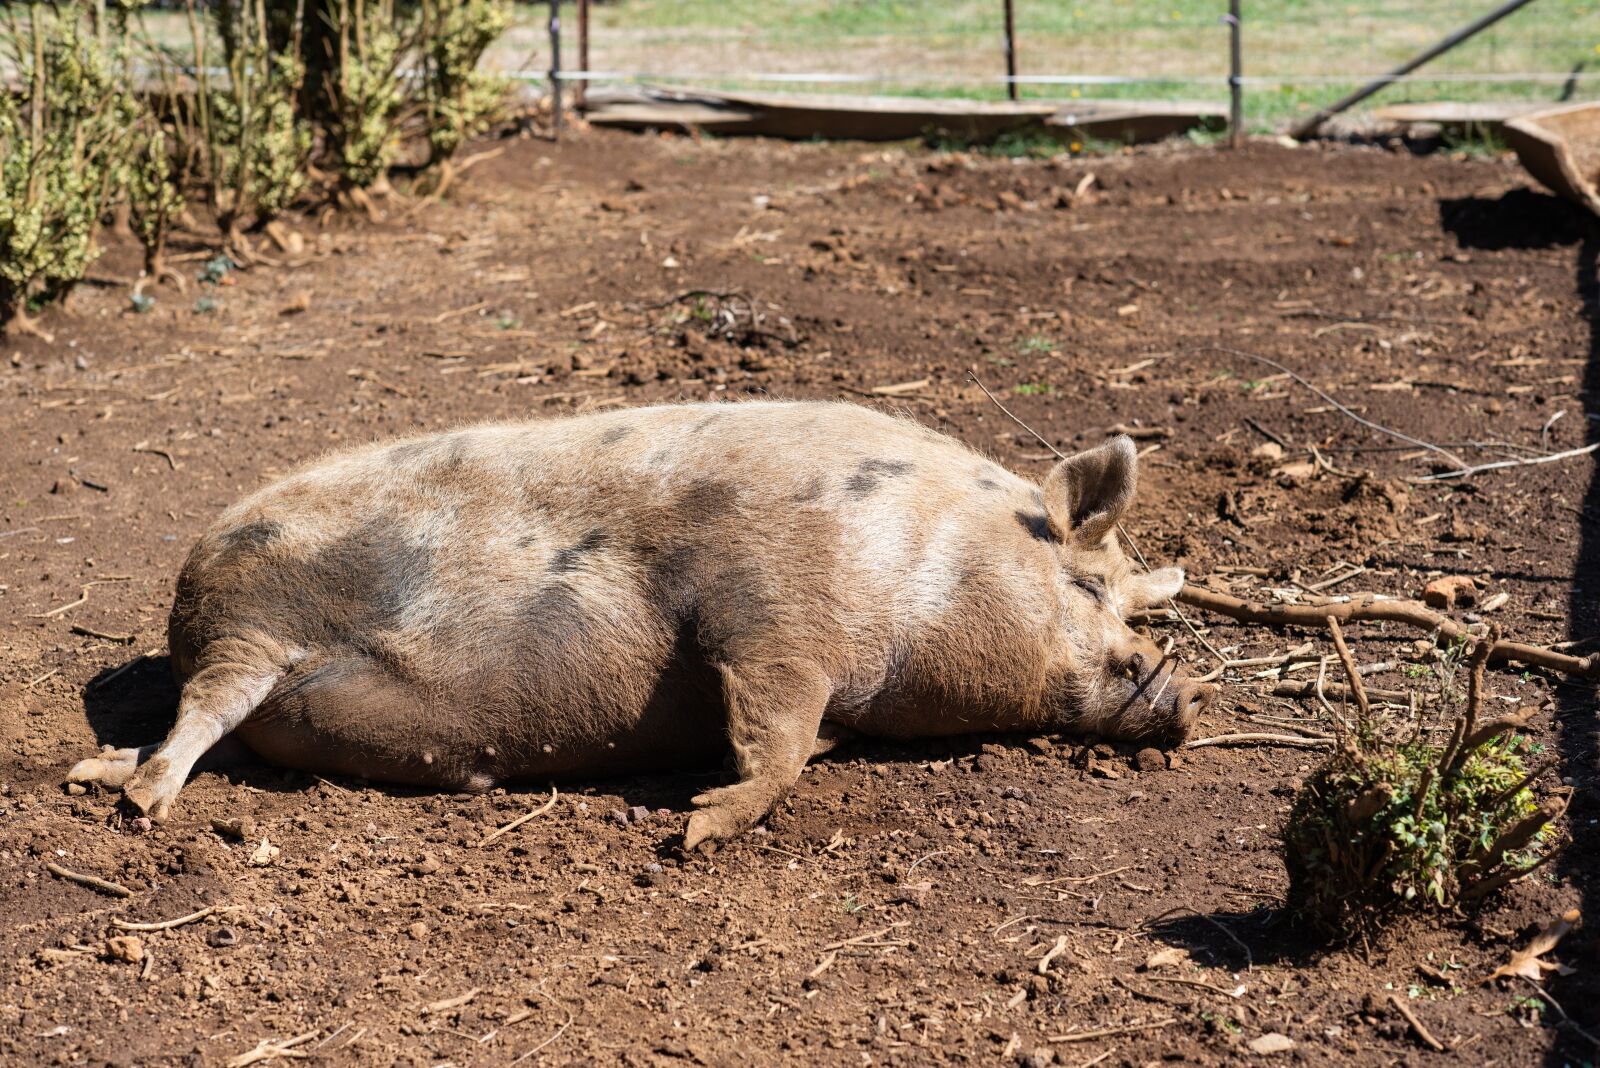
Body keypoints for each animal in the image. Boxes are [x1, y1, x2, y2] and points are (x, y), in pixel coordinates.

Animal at [69, 400, 1211, 849]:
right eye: (1090, 587)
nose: (1185, 691)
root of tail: (188, 585)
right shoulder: (770, 607)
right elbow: (774, 733)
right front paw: (697, 828)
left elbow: (798, 739)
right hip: (251, 626)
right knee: (201, 715)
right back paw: (136, 803)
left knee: (203, 724)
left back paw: (105, 773)